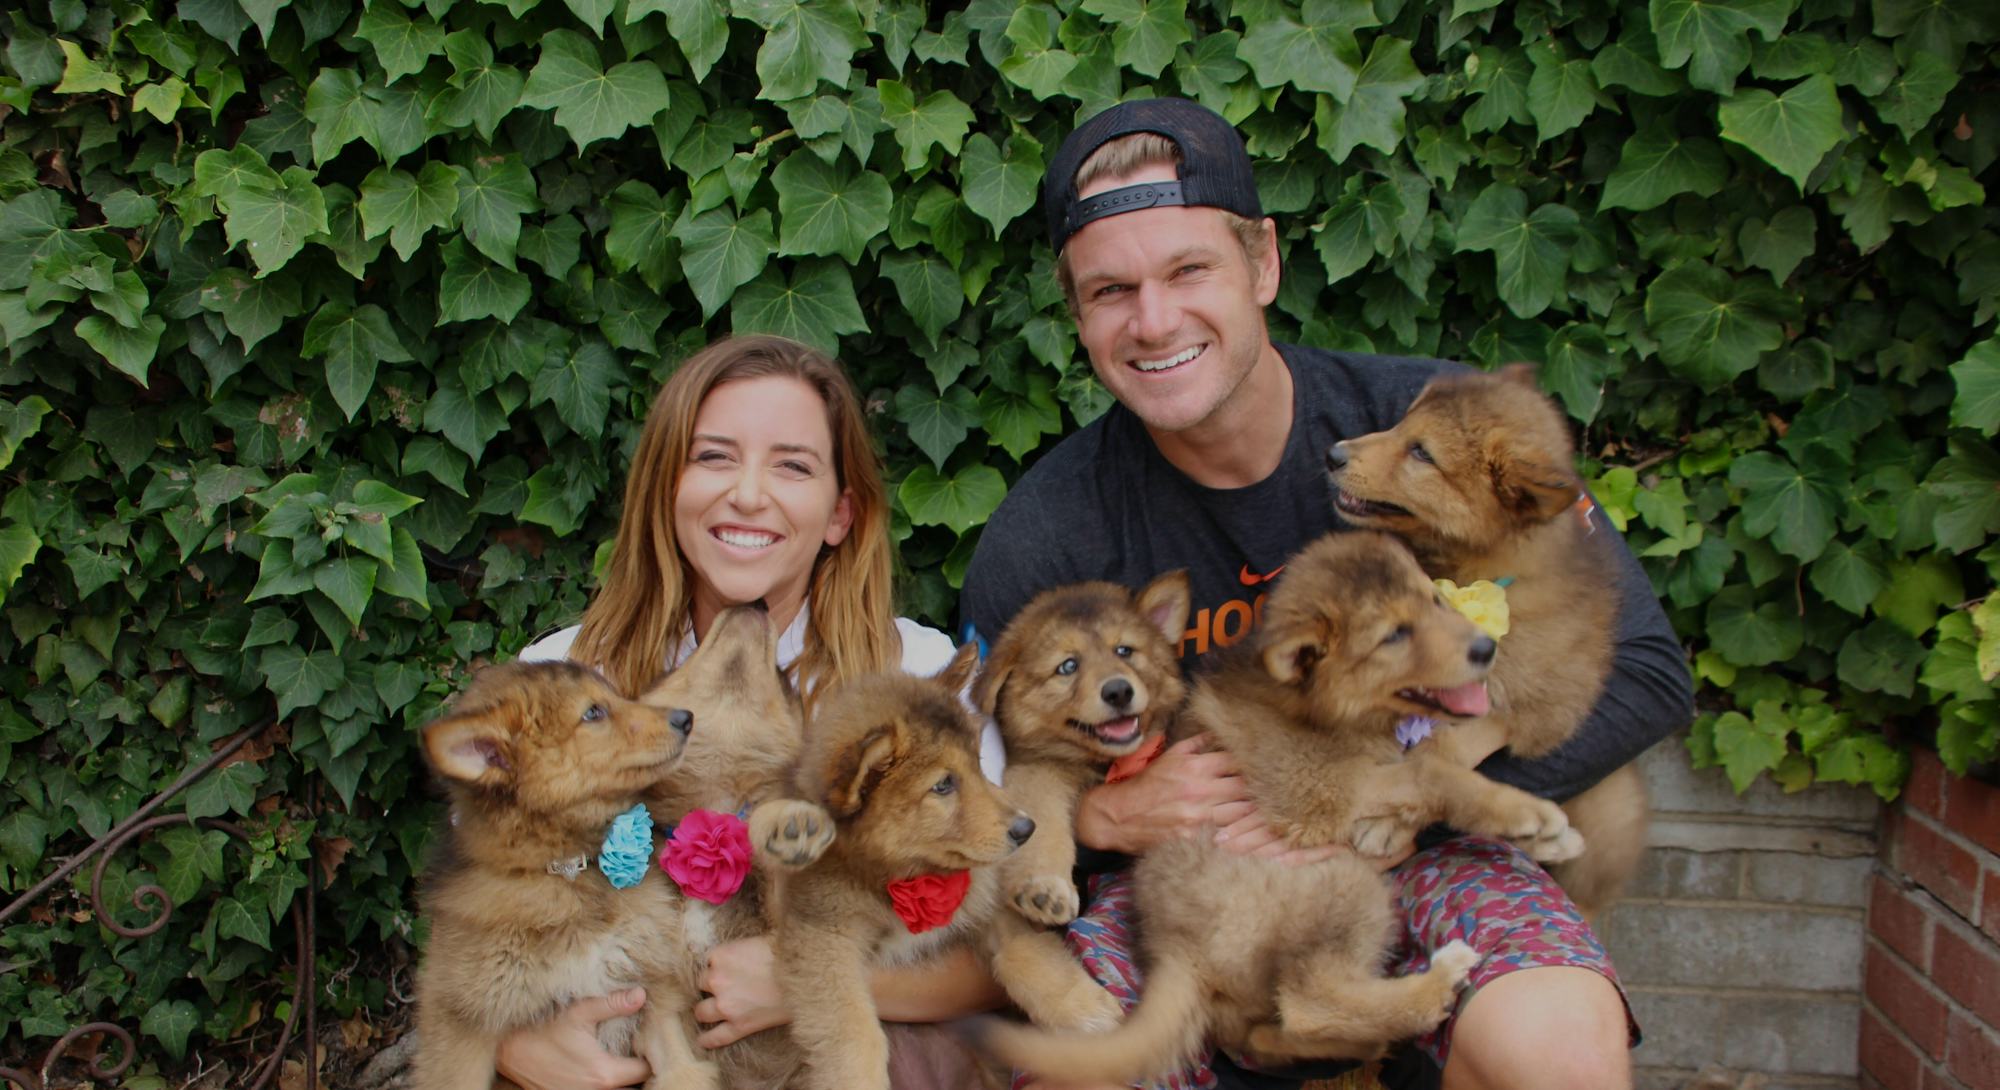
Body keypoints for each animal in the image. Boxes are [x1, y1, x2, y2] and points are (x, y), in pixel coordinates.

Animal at [410, 660, 716, 1080]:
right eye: (593, 713)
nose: (686, 718)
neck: (568, 872)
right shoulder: (460, 1025)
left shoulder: (655, 992)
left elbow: (684, 1071)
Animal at [968, 568, 1184, 928]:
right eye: (1068, 667)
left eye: (1124, 650)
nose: (1118, 691)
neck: (1103, 763)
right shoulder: (1037, 773)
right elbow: (1045, 824)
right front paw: (1044, 888)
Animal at [1328, 362, 1640, 912]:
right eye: (1399, 424)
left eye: (1422, 453)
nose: (1334, 454)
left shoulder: (1540, 704)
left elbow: (1443, 750)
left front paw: (1388, 823)